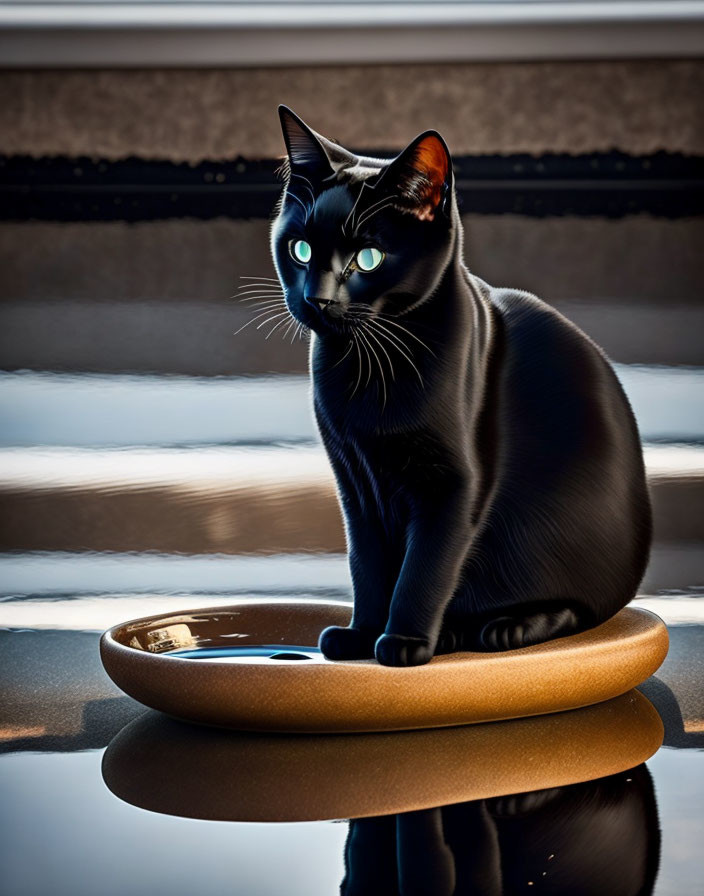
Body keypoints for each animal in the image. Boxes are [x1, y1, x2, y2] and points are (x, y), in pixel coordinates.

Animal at [268, 105, 648, 664]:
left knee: (581, 608)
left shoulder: (453, 485)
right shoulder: (355, 483)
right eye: (300, 250)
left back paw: (509, 627)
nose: (317, 298)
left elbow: (424, 569)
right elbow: (368, 566)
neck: (370, 368)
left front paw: (402, 643)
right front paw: (361, 636)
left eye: (367, 259)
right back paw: (450, 634)